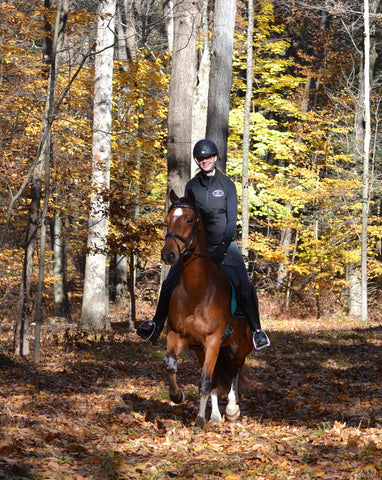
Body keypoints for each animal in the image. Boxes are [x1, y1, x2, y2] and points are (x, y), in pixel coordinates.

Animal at [161, 189, 254, 426]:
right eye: (167, 220)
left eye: (189, 219)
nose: (168, 255)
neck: (197, 293)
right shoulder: (177, 335)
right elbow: (171, 365)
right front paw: (178, 395)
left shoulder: (213, 340)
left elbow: (204, 381)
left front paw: (200, 421)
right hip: (200, 350)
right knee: (216, 377)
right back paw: (216, 415)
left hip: (244, 341)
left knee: (235, 367)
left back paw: (232, 409)